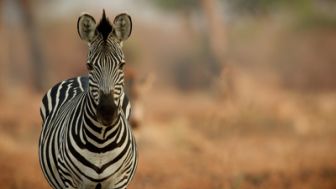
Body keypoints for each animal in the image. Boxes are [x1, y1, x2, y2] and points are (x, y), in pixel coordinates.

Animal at [39, 10, 138, 189]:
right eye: (89, 66)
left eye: (122, 65)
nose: (107, 112)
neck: (101, 141)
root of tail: (80, 77)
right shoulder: (70, 180)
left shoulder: (120, 180)